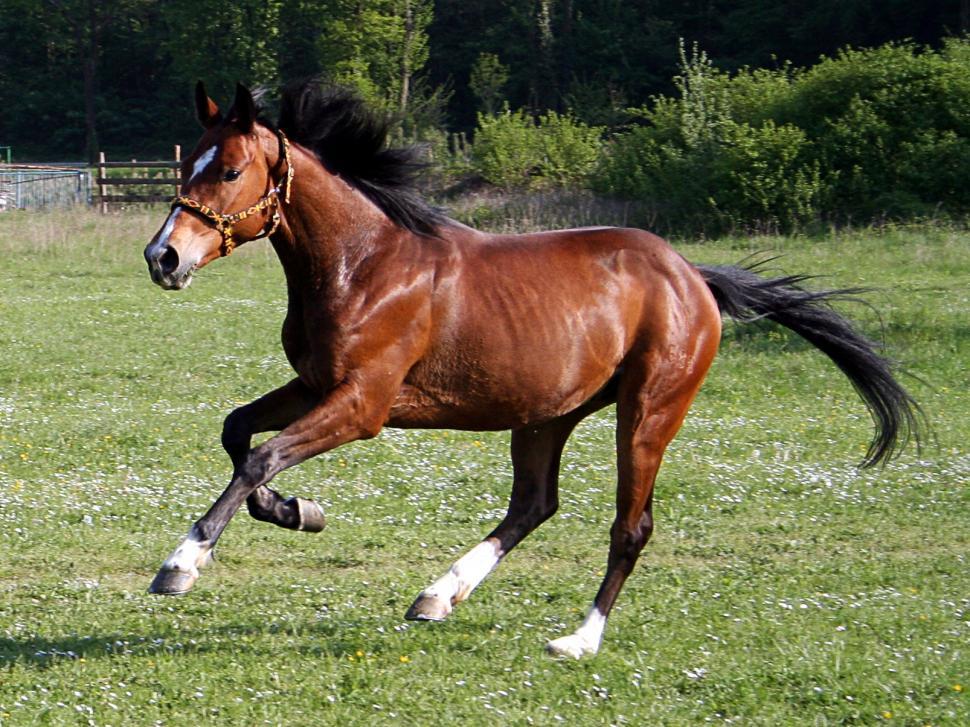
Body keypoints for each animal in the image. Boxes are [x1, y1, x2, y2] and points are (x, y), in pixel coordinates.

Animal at [142, 81, 921, 659]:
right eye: (186, 166)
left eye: (231, 170)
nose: (163, 257)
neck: (362, 264)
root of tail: (692, 276)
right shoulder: (314, 385)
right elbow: (238, 433)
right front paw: (296, 511)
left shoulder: (362, 405)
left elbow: (261, 456)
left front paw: (183, 563)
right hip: (548, 414)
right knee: (534, 503)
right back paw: (439, 594)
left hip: (649, 411)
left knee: (629, 526)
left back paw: (577, 639)